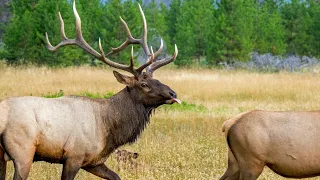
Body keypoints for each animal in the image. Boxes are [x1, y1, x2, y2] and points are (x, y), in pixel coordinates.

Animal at [0, 1, 180, 180]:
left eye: (156, 79)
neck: (110, 130)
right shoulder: (74, 156)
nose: (173, 93)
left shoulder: (94, 161)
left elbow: (116, 176)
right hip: (23, 152)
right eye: (144, 84)